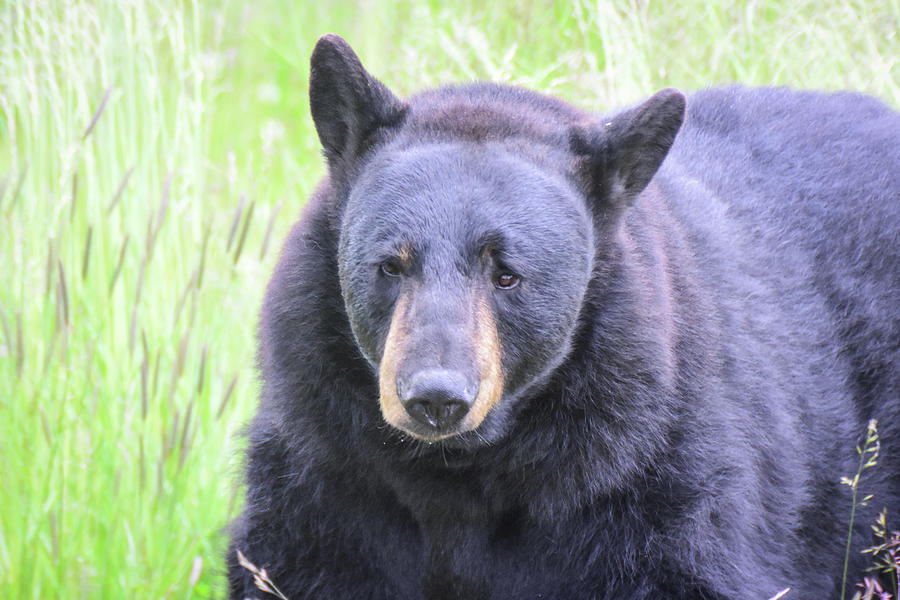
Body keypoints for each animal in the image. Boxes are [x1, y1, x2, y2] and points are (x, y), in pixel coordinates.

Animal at [230, 35, 900, 596]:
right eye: (391, 265)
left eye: (507, 274)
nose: (436, 397)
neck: (461, 470)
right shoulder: (330, 476)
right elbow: (301, 563)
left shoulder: (654, 477)